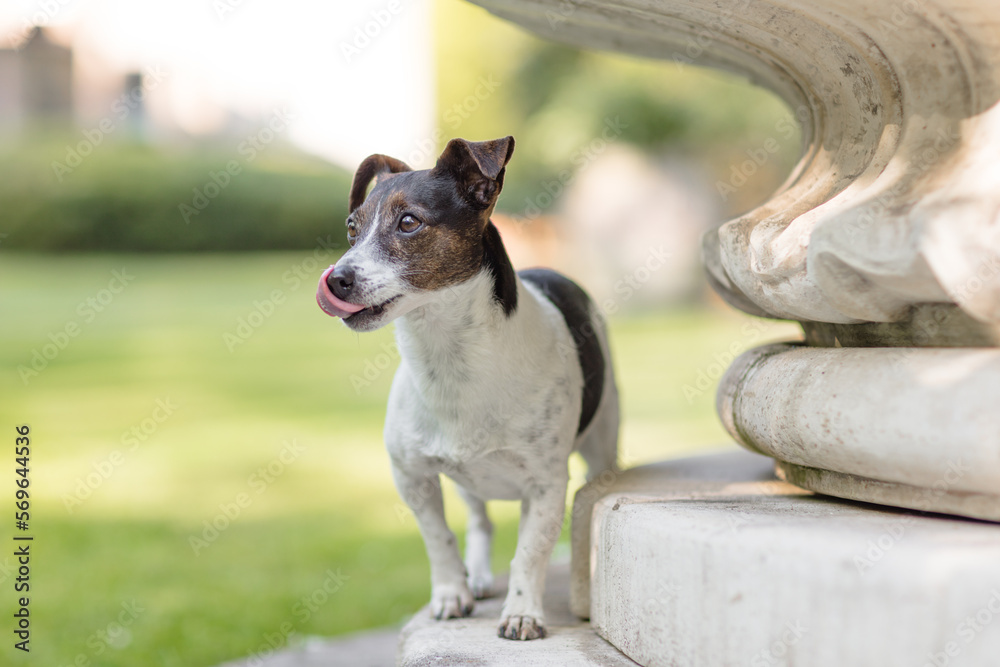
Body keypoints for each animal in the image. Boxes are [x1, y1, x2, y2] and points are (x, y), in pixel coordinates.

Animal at [318, 136, 616, 640]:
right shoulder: (413, 477)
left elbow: (530, 551)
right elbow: (439, 539)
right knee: (480, 521)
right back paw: (475, 576)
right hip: (467, 482)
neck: (449, 359)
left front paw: (523, 611)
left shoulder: (546, 485)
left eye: (409, 222)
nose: (336, 279)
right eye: (351, 230)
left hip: (602, 447)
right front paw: (450, 594)